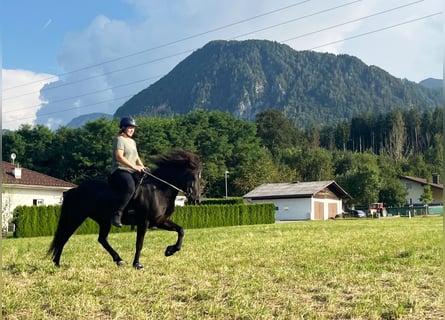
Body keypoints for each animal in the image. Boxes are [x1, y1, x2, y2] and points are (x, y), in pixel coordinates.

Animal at [49, 151, 201, 270]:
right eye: (193, 176)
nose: (197, 199)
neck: (158, 190)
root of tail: (75, 190)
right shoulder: (144, 222)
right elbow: (139, 243)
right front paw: (137, 264)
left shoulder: (160, 221)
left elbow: (181, 230)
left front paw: (170, 250)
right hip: (76, 217)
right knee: (64, 237)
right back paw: (57, 263)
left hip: (104, 221)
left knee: (102, 239)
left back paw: (119, 260)